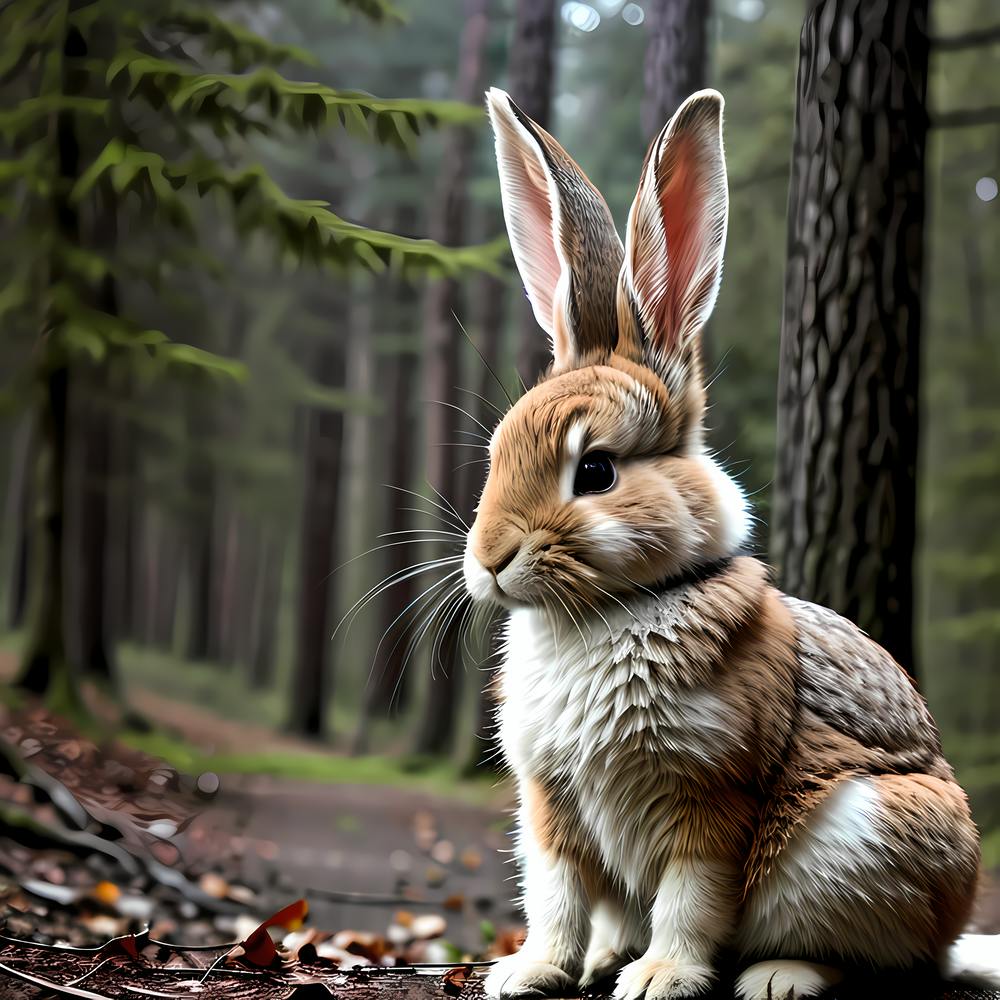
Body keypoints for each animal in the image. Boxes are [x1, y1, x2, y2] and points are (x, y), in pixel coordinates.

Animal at [461, 86, 1000, 1000]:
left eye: (596, 470)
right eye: (498, 453)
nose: (490, 561)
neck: (613, 609)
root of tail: (954, 926)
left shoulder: (712, 795)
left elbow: (691, 898)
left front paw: (659, 980)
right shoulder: (550, 805)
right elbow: (556, 898)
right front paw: (528, 973)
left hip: (864, 839)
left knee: (870, 958)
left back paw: (777, 976)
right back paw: (609, 959)